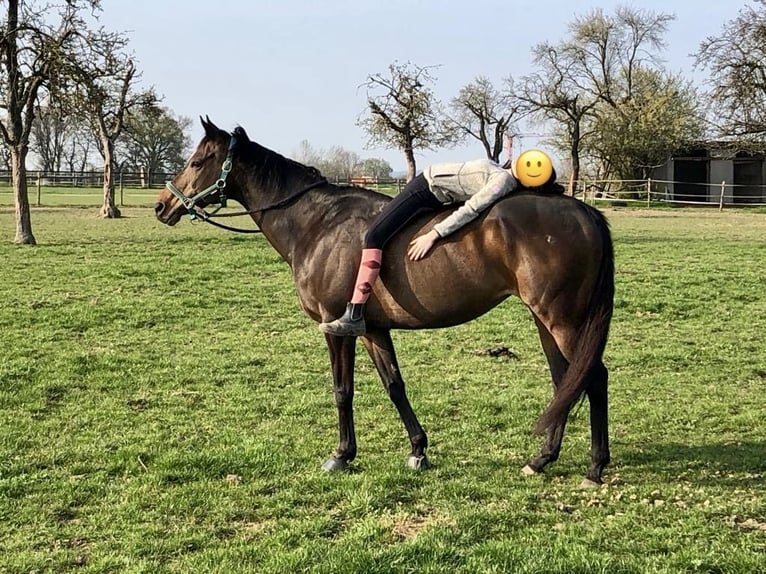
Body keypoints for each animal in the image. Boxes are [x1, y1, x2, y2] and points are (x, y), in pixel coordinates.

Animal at [156, 119, 616, 488]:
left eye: (198, 161)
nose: (163, 205)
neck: (316, 223)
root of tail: (584, 212)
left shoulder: (334, 326)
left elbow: (342, 390)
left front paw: (342, 455)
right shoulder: (373, 329)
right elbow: (394, 385)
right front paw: (418, 449)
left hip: (563, 319)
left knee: (593, 378)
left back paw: (595, 467)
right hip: (546, 320)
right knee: (564, 380)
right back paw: (542, 459)